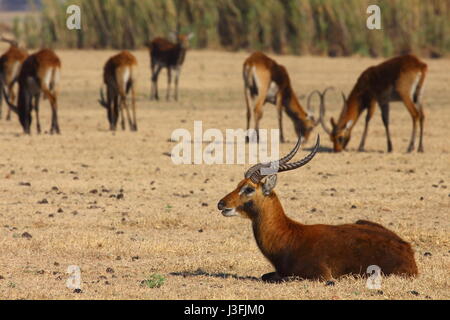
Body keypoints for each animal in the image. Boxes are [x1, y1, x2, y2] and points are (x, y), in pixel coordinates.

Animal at [218, 136, 418, 282]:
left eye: (248, 189)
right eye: (239, 184)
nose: (221, 204)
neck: (289, 237)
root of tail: (407, 249)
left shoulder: (320, 275)